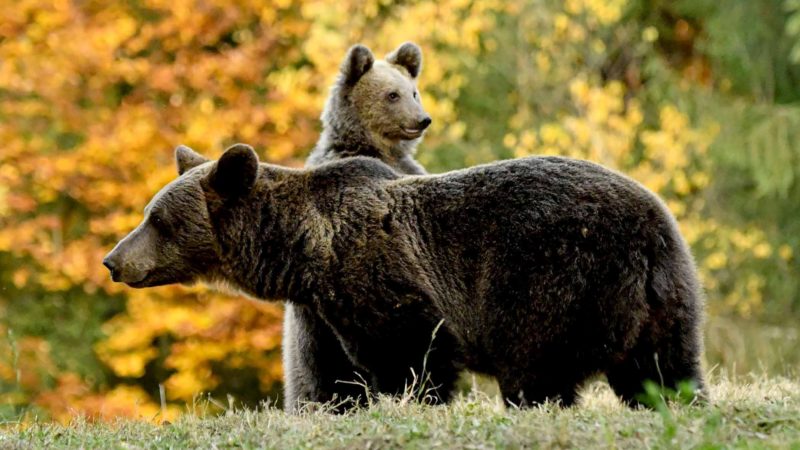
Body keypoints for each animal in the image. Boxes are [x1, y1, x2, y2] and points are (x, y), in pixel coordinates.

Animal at [104, 146, 708, 410]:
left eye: (156, 219)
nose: (113, 260)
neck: (303, 256)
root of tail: (651, 225)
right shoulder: (323, 313)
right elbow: (330, 375)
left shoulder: (383, 283)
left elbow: (411, 360)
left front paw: (413, 400)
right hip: (666, 296)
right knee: (664, 367)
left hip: (553, 278)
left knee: (536, 367)